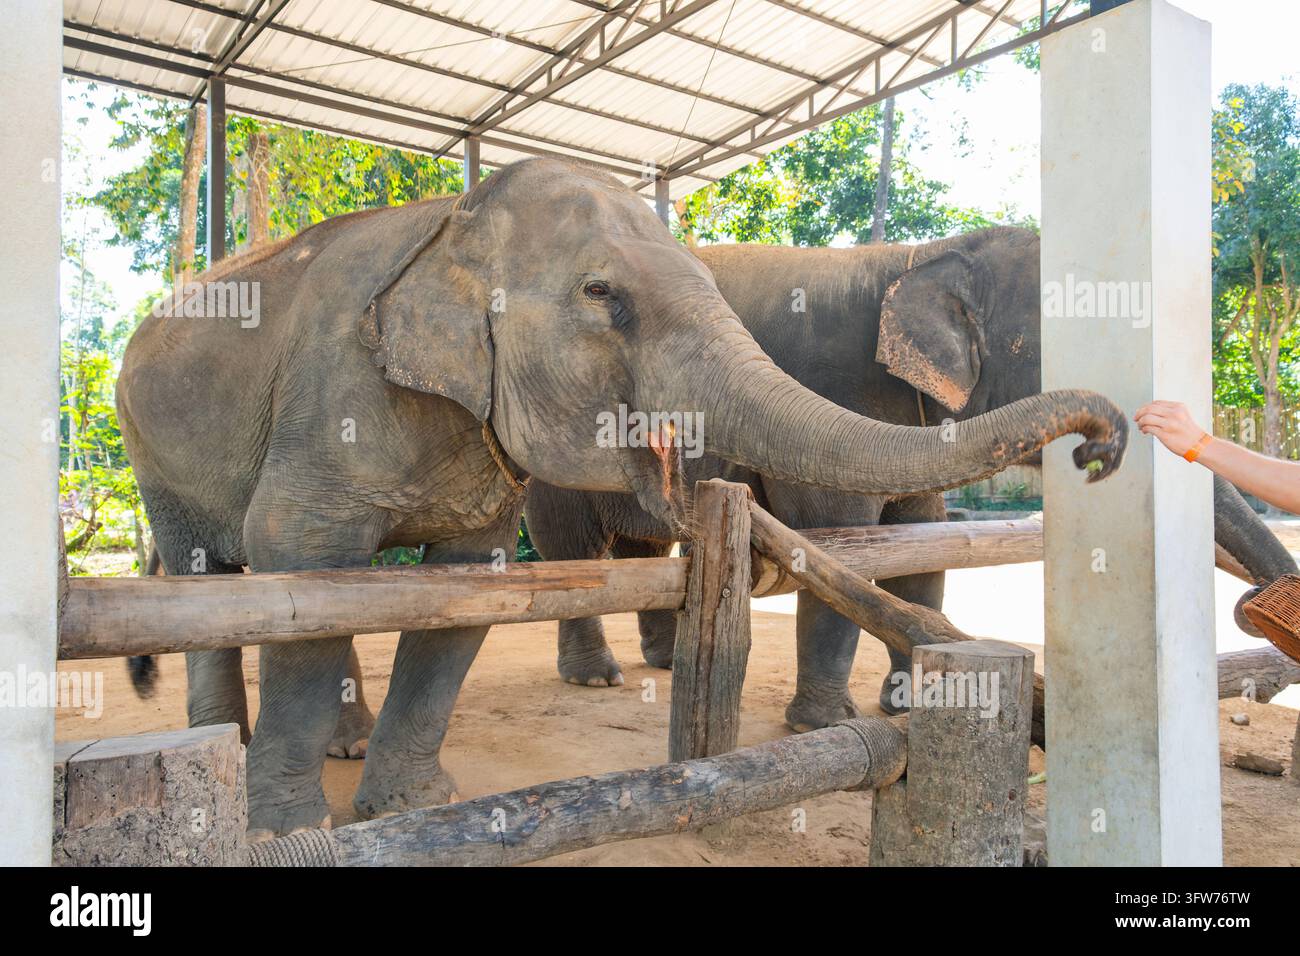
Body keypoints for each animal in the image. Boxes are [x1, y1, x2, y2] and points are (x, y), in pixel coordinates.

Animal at [117, 160, 1128, 838]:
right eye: (602, 294)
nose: (1103, 443)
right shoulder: (333, 396)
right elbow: (301, 566)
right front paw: (289, 831)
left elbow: (464, 593)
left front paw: (411, 806)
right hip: (147, 448)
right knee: (221, 580)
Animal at [522, 227, 1298, 732]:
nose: (1254, 605)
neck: (918, 257)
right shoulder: (828, 385)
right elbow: (837, 539)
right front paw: (823, 726)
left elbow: (922, 546)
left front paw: (912, 705)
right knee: (568, 551)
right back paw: (596, 675)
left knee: (643, 550)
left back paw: (656, 663)